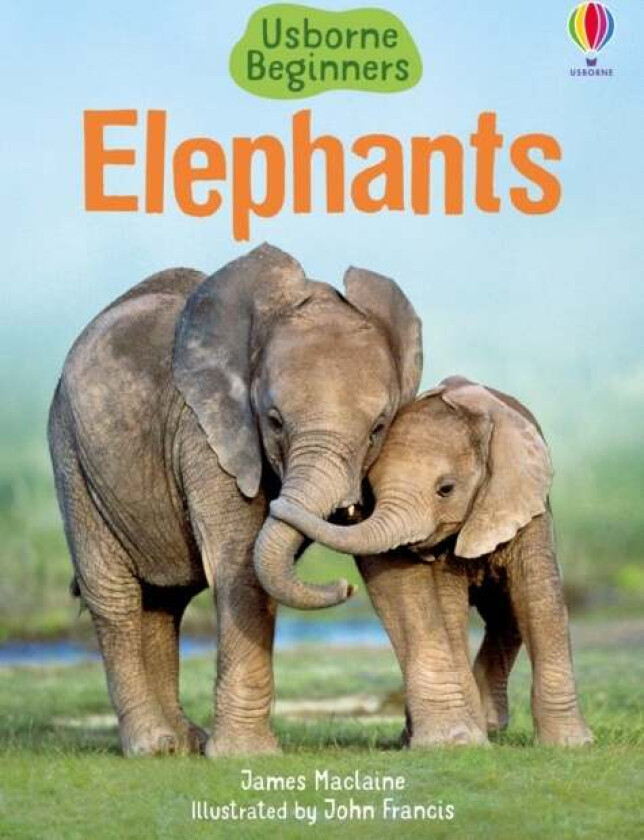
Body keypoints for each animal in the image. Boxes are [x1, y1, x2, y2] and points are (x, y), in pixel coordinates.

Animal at [48, 243, 422, 757]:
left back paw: (184, 742)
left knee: (163, 601)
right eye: (274, 421)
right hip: (71, 455)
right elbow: (241, 562)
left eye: (378, 429)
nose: (345, 588)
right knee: (114, 595)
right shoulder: (207, 434)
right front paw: (247, 754)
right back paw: (154, 746)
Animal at [271, 376, 593, 747]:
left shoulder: (525, 504)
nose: (346, 587)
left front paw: (572, 744)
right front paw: (465, 741)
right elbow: (448, 609)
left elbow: (538, 597)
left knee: (507, 612)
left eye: (446, 489)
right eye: (372, 490)